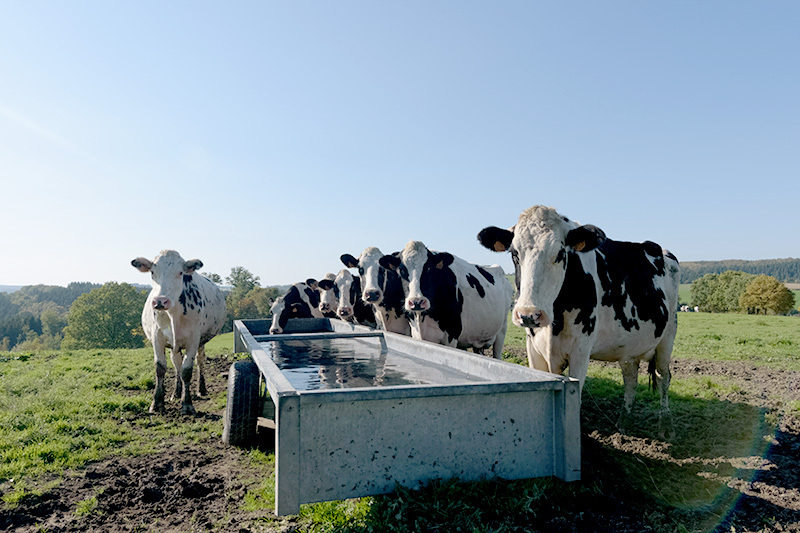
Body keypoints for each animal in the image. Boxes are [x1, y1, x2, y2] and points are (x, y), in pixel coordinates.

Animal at [130, 249, 225, 416]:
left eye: (180, 272)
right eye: (152, 272)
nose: (160, 301)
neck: (173, 313)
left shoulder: (193, 339)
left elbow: (187, 370)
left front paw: (187, 404)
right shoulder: (157, 337)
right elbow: (160, 367)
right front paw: (157, 403)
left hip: (201, 342)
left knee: (200, 360)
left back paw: (201, 389)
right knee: (176, 364)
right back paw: (176, 392)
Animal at [376, 241, 512, 358]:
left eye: (429, 268)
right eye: (402, 270)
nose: (416, 302)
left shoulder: (452, 335)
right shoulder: (416, 334)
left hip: (502, 331)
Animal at [478, 206, 680, 434]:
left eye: (560, 253)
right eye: (514, 253)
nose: (529, 314)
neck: (554, 322)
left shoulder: (580, 351)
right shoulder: (533, 348)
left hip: (668, 336)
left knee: (663, 377)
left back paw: (666, 425)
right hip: (629, 346)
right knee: (631, 378)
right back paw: (624, 422)